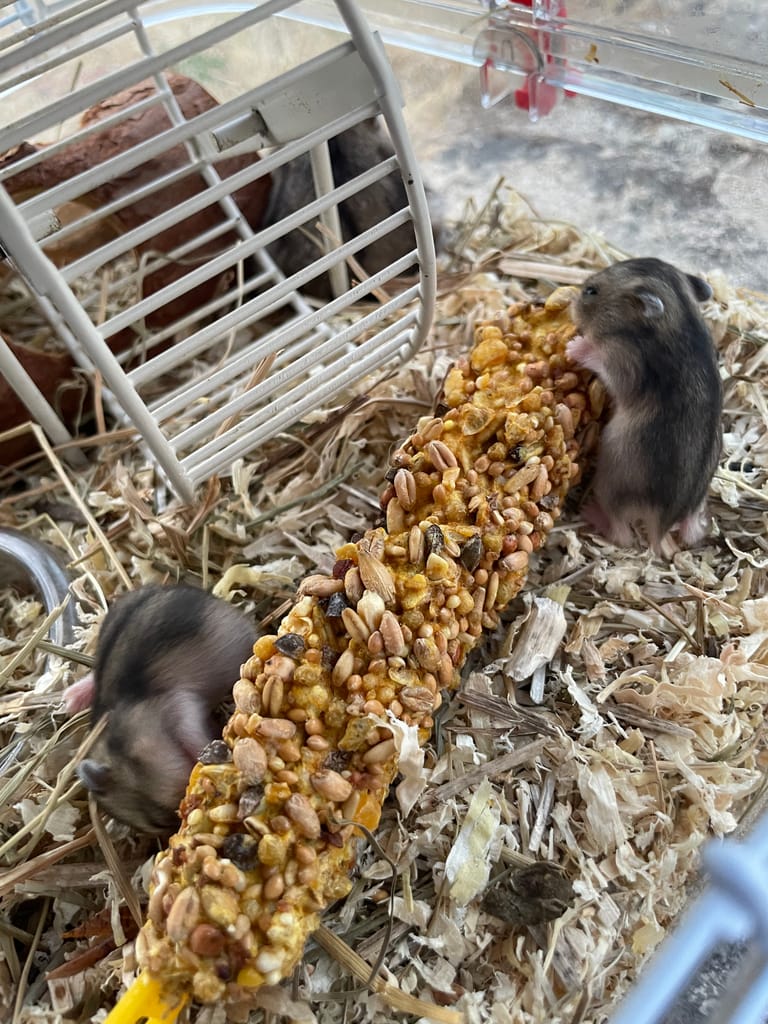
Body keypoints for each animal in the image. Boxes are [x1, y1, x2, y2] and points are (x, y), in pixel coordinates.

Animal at [566, 257, 722, 551]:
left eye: (591, 291)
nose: (571, 301)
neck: (680, 315)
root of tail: (663, 524)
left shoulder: (622, 361)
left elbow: (599, 359)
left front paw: (574, 346)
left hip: (610, 482)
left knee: (622, 534)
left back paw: (591, 512)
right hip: (699, 497)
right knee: (692, 529)